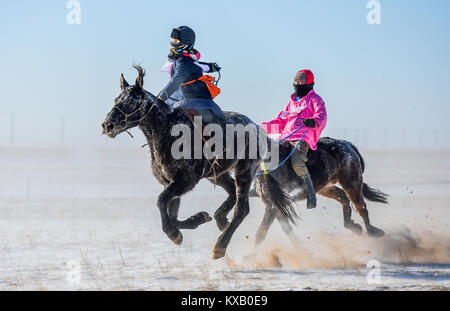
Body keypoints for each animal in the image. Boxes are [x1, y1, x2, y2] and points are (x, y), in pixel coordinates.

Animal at [101, 66, 296, 260]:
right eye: (116, 99)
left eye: (131, 101)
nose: (107, 126)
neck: (167, 132)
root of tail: (259, 129)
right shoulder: (170, 182)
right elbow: (172, 214)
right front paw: (199, 218)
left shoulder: (185, 181)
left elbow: (161, 201)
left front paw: (174, 234)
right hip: (218, 174)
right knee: (232, 193)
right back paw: (220, 220)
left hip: (245, 171)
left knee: (242, 208)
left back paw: (220, 246)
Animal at [251, 138, 388, 247]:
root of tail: (347, 145)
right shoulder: (273, 205)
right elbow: (277, 228)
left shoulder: (275, 205)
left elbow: (263, 231)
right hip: (325, 188)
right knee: (344, 198)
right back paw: (354, 226)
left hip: (352, 182)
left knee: (361, 207)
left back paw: (373, 231)